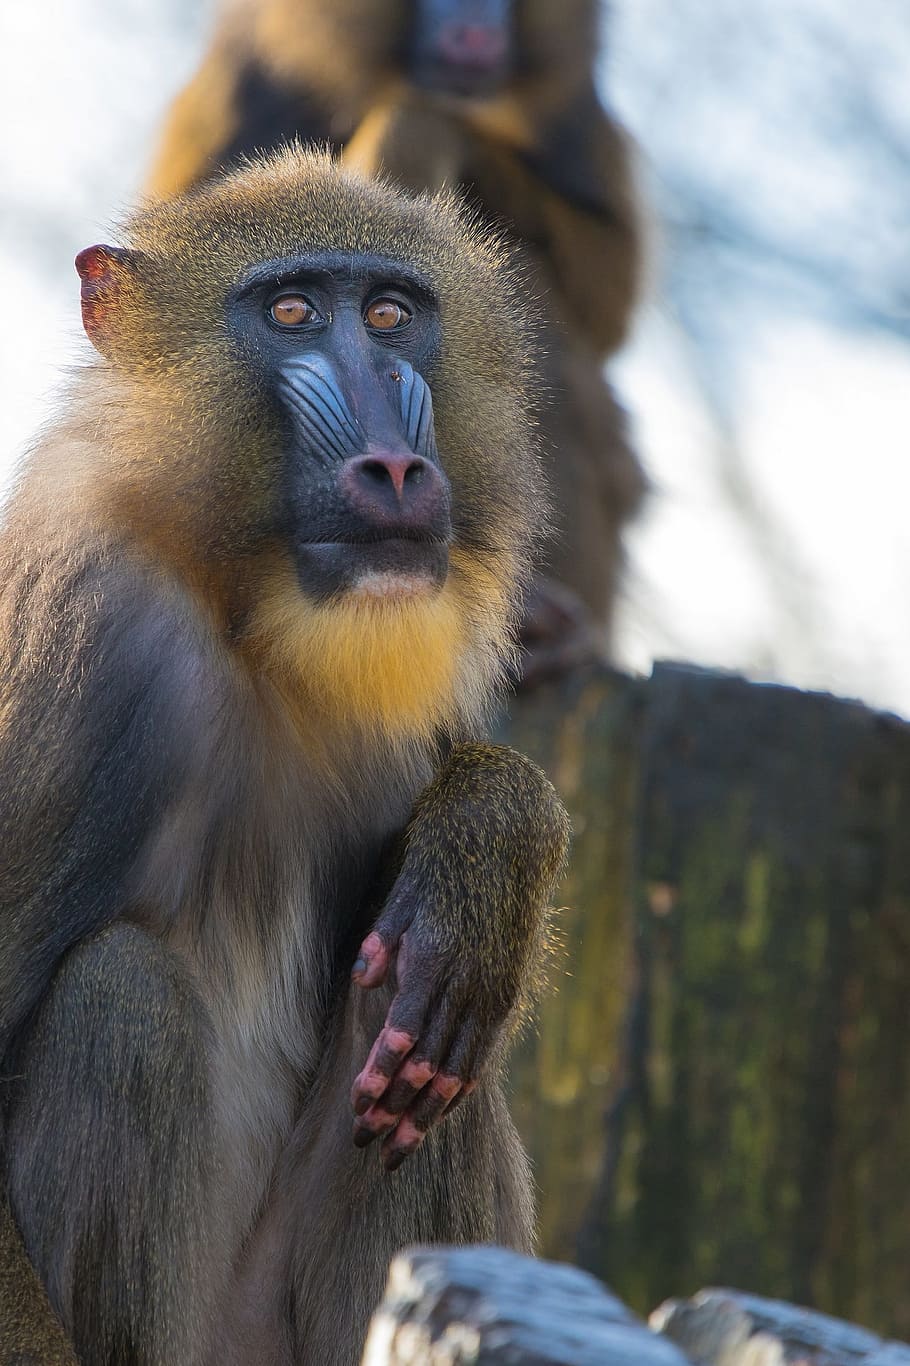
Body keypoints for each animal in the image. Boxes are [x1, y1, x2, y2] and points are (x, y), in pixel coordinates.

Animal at [0, 146, 570, 1365]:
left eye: (392, 315)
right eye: (293, 312)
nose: (395, 465)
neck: (243, 618)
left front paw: (489, 841)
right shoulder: (76, 641)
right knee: (122, 993)